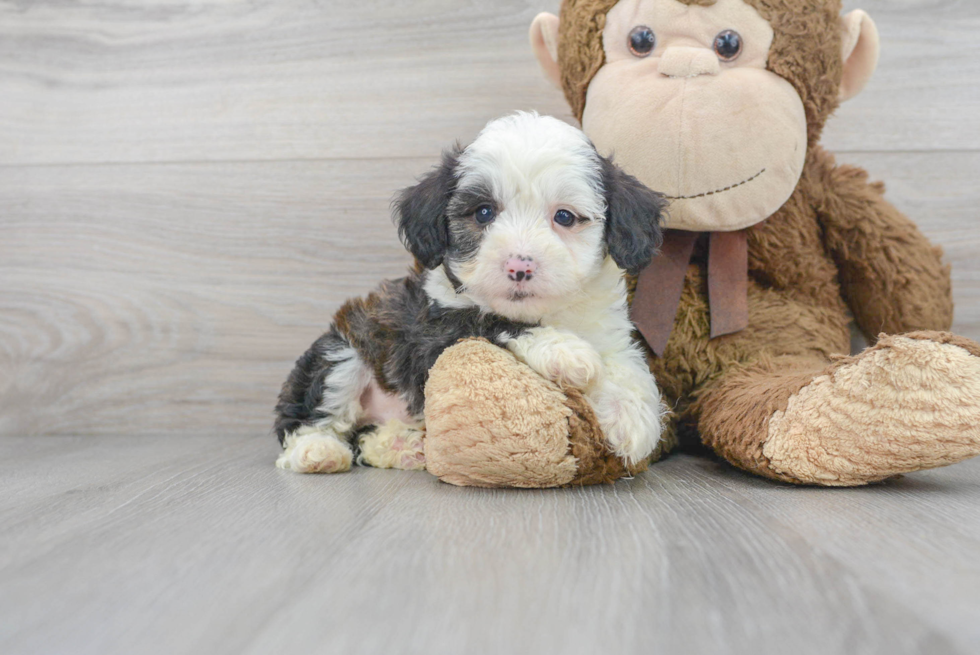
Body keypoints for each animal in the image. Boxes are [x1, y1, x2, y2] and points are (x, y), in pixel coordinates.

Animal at [280, 113, 668, 476]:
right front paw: (563, 350)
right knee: (307, 418)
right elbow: (487, 320)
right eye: (483, 212)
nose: (519, 267)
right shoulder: (429, 336)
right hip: (340, 353)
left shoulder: (606, 328)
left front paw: (631, 417)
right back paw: (318, 451)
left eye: (565, 217)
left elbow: (626, 363)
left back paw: (404, 446)